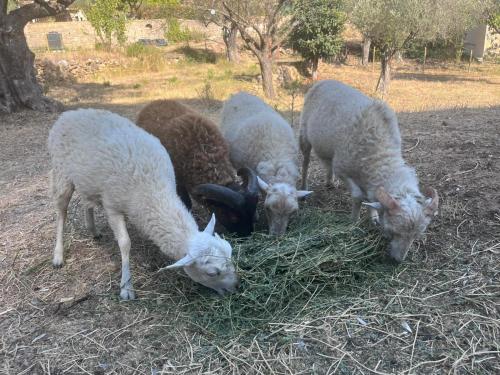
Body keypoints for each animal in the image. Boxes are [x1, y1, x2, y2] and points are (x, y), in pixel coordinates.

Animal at [47, 108, 239, 300]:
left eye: (230, 251)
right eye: (212, 273)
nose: (235, 288)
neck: (152, 189)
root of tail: (70, 113)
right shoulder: (112, 207)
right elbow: (125, 243)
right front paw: (126, 287)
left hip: (87, 181)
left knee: (87, 202)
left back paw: (93, 230)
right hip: (61, 173)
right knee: (61, 212)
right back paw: (58, 255)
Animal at [137, 98, 258, 236]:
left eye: (253, 211)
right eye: (233, 217)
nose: (247, 235)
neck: (203, 152)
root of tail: (155, 102)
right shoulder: (179, 182)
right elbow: (187, 204)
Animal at [300, 80, 438, 262]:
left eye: (416, 236)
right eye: (393, 231)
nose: (398, 261)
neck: (380, 154)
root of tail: (325, 81)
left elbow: (369, 198)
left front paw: (372, 217)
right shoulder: (343, 169)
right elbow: (358, 197)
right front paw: (354, 220)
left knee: (327, 163)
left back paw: (330, 182)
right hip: (304, 134)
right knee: (306, 163)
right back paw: (304, 187)